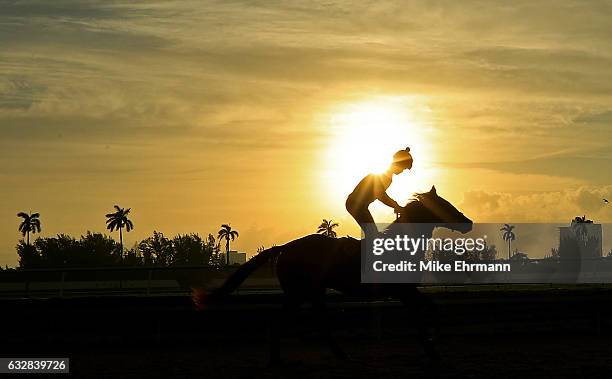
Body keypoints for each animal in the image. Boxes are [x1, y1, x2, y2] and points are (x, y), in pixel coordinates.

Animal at [194, 187, 470, 366]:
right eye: (445, 205)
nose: (467, 222)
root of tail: (286, 247)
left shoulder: (407, 291)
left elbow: (431, 309)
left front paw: (433, 344)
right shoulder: (403, 291)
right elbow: (423, 315)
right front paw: (432, 347)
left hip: (310, 292)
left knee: (313, 322)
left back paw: (333, 355)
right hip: (300, 292)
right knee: (287, 321)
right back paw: (283, 359)